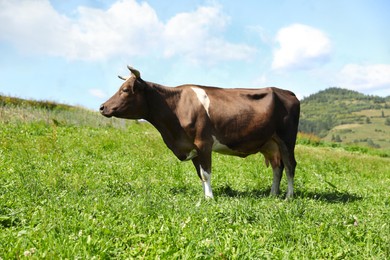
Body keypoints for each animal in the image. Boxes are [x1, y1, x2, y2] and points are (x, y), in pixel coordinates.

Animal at [99, 66, 300, 198]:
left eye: (125, 90)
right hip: (270, 143)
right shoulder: (191, 146)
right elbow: (201, 175)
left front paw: (209, 198)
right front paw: (204, 196)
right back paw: (273, 194)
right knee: (277, 167)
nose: (102, 107)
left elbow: (206, 173)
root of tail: (287, 92)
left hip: (287, 140)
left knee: (290, 165)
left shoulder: (204, 143)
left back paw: (288, 196)